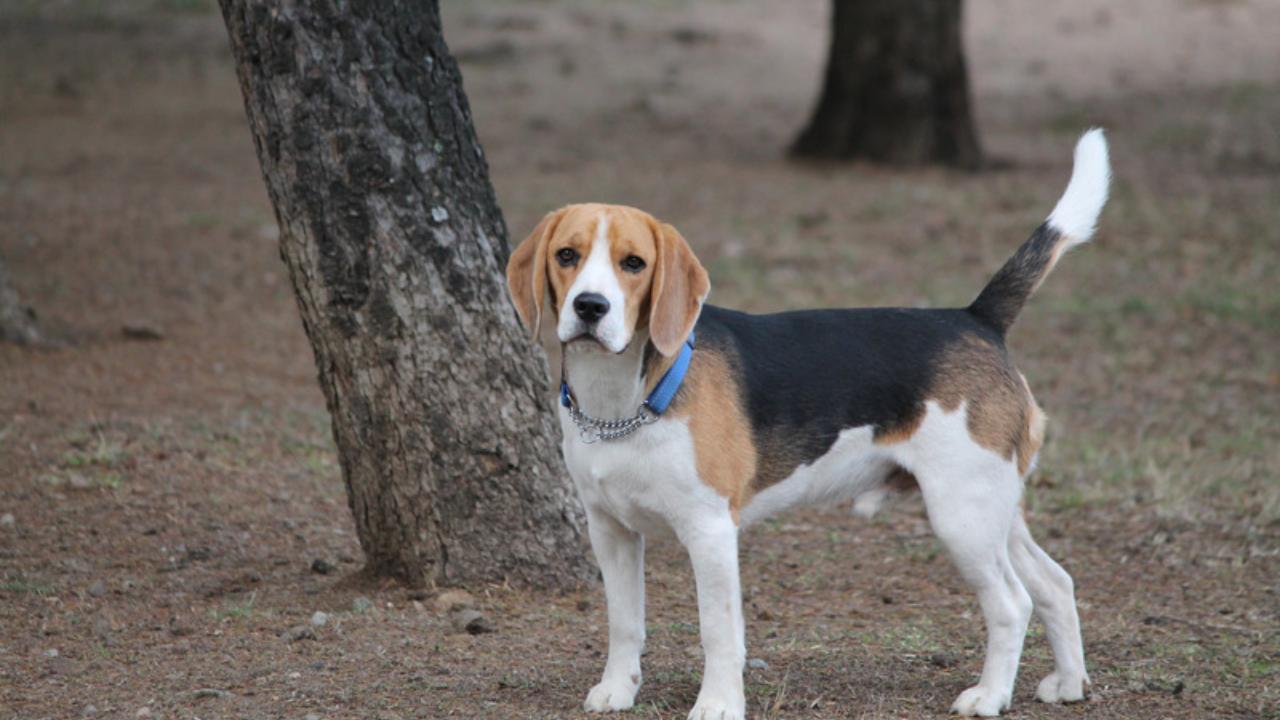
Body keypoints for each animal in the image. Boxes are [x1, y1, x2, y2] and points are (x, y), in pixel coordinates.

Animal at [509, 131, 1111, 712]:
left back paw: (989, 696)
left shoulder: (710, 530)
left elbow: (718, 632)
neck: (623, 401)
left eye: (633, 263)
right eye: (567, 255)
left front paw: (718, 704)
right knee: (1055, 583)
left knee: (1012, 602)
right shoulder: (609, 529)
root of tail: (977, 318)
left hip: (962, 514)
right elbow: (624, 623)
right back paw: (1069, 683)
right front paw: (617, 690)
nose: (590, 307)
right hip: (994, 508)